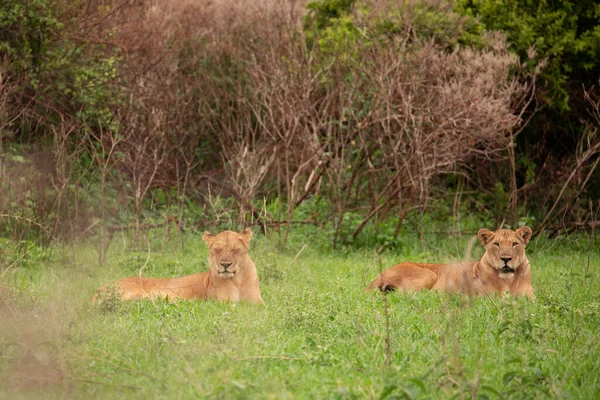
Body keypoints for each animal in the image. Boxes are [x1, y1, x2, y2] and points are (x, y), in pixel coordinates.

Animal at [92, 228, 262, 304]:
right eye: (217, 250)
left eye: (235, 250)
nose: (225, 265)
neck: (237, 281)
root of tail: (96, 291)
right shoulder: (223, 302)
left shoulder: (258, 303)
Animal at [366, 227, 536, 298]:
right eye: (497, 244)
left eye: (514, 244)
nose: (506, 259)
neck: (509, 279)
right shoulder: (489, 296)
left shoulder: (531, 299)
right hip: (428, 275)